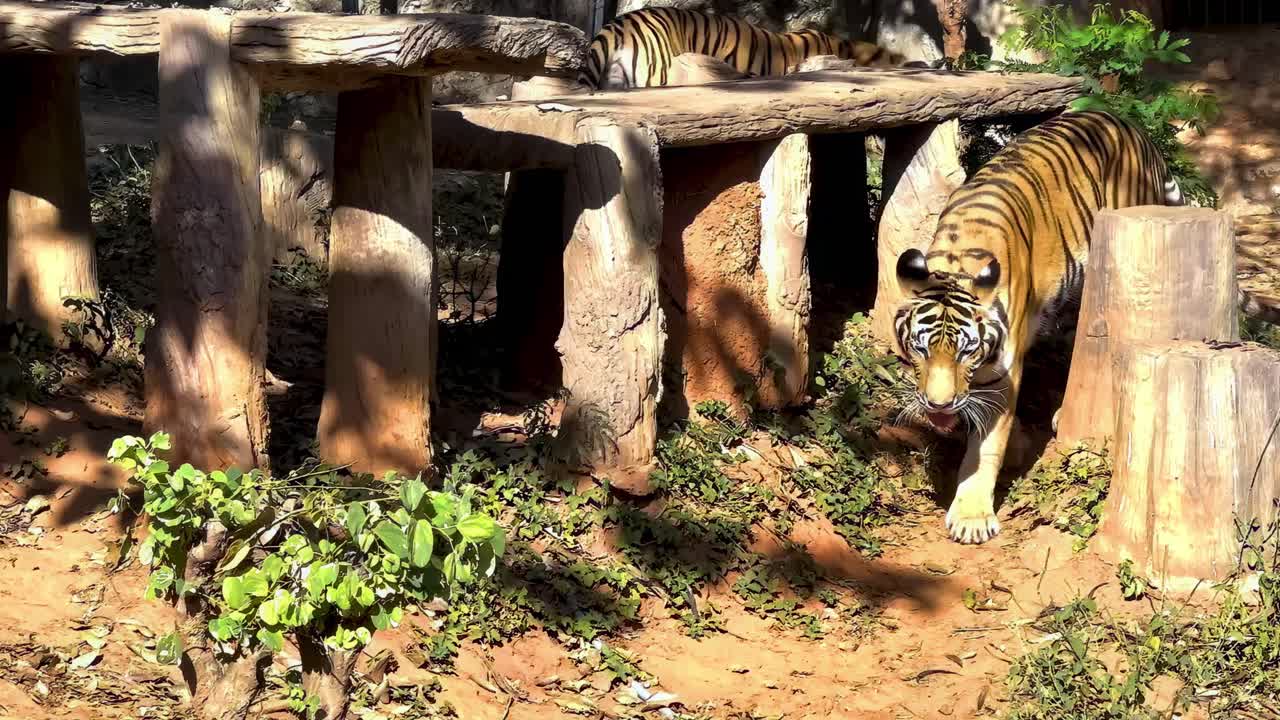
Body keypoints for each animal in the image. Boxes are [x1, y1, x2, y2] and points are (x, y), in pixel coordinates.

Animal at [892, 110, 1186, 545]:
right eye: (921, 348)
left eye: (966, 351)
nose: (939, 406)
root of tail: (1130, 126)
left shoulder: (1000, 373)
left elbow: (986, 447)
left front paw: (972, 517)